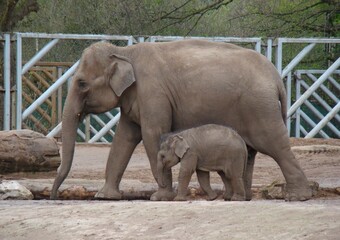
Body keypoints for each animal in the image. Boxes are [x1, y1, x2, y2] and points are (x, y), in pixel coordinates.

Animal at [49, 39, 312, 201]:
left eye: (82, 83)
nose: (53, 196)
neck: (124, 52)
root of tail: (276, 77)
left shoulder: (153, 94)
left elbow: (152, 134)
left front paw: (160, 197)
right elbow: (124, 139)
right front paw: (104, 196)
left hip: (260, 109)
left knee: (274, 144)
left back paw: (298, 197)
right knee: (250, 152)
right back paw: (241, 197)